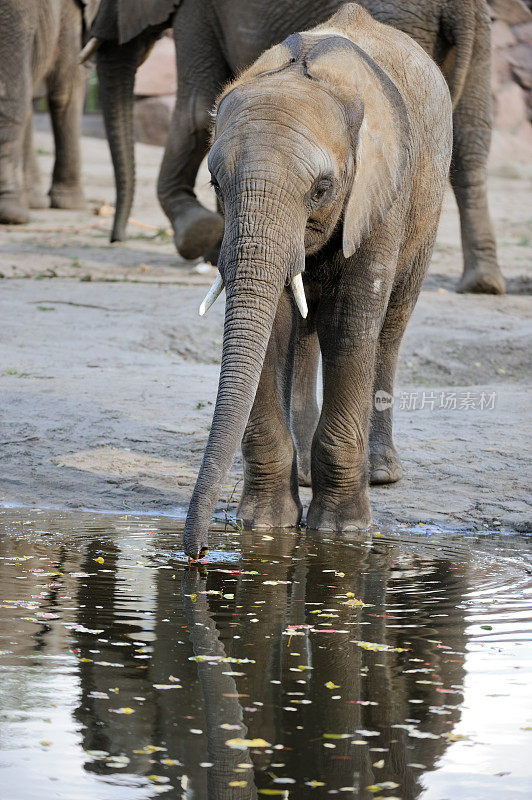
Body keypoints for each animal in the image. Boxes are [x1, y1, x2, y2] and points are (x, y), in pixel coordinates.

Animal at [90, 0, 502, 294]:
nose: (115, 236)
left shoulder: (199, 10)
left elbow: (194, 108)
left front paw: (201, 235)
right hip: (481, 34)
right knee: (472, 137)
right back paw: (482, 284)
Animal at [184, 3, 454, 560]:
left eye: (322, 189)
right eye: (216, 184)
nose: (196, 555)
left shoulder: (380, 192)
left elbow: (352, 325)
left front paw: (342, 533)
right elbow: (274, 326)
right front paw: (265, 526)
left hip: (429, 198)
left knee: (391, 325)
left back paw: (381, 473)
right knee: (304, 329)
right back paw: (307, 473)